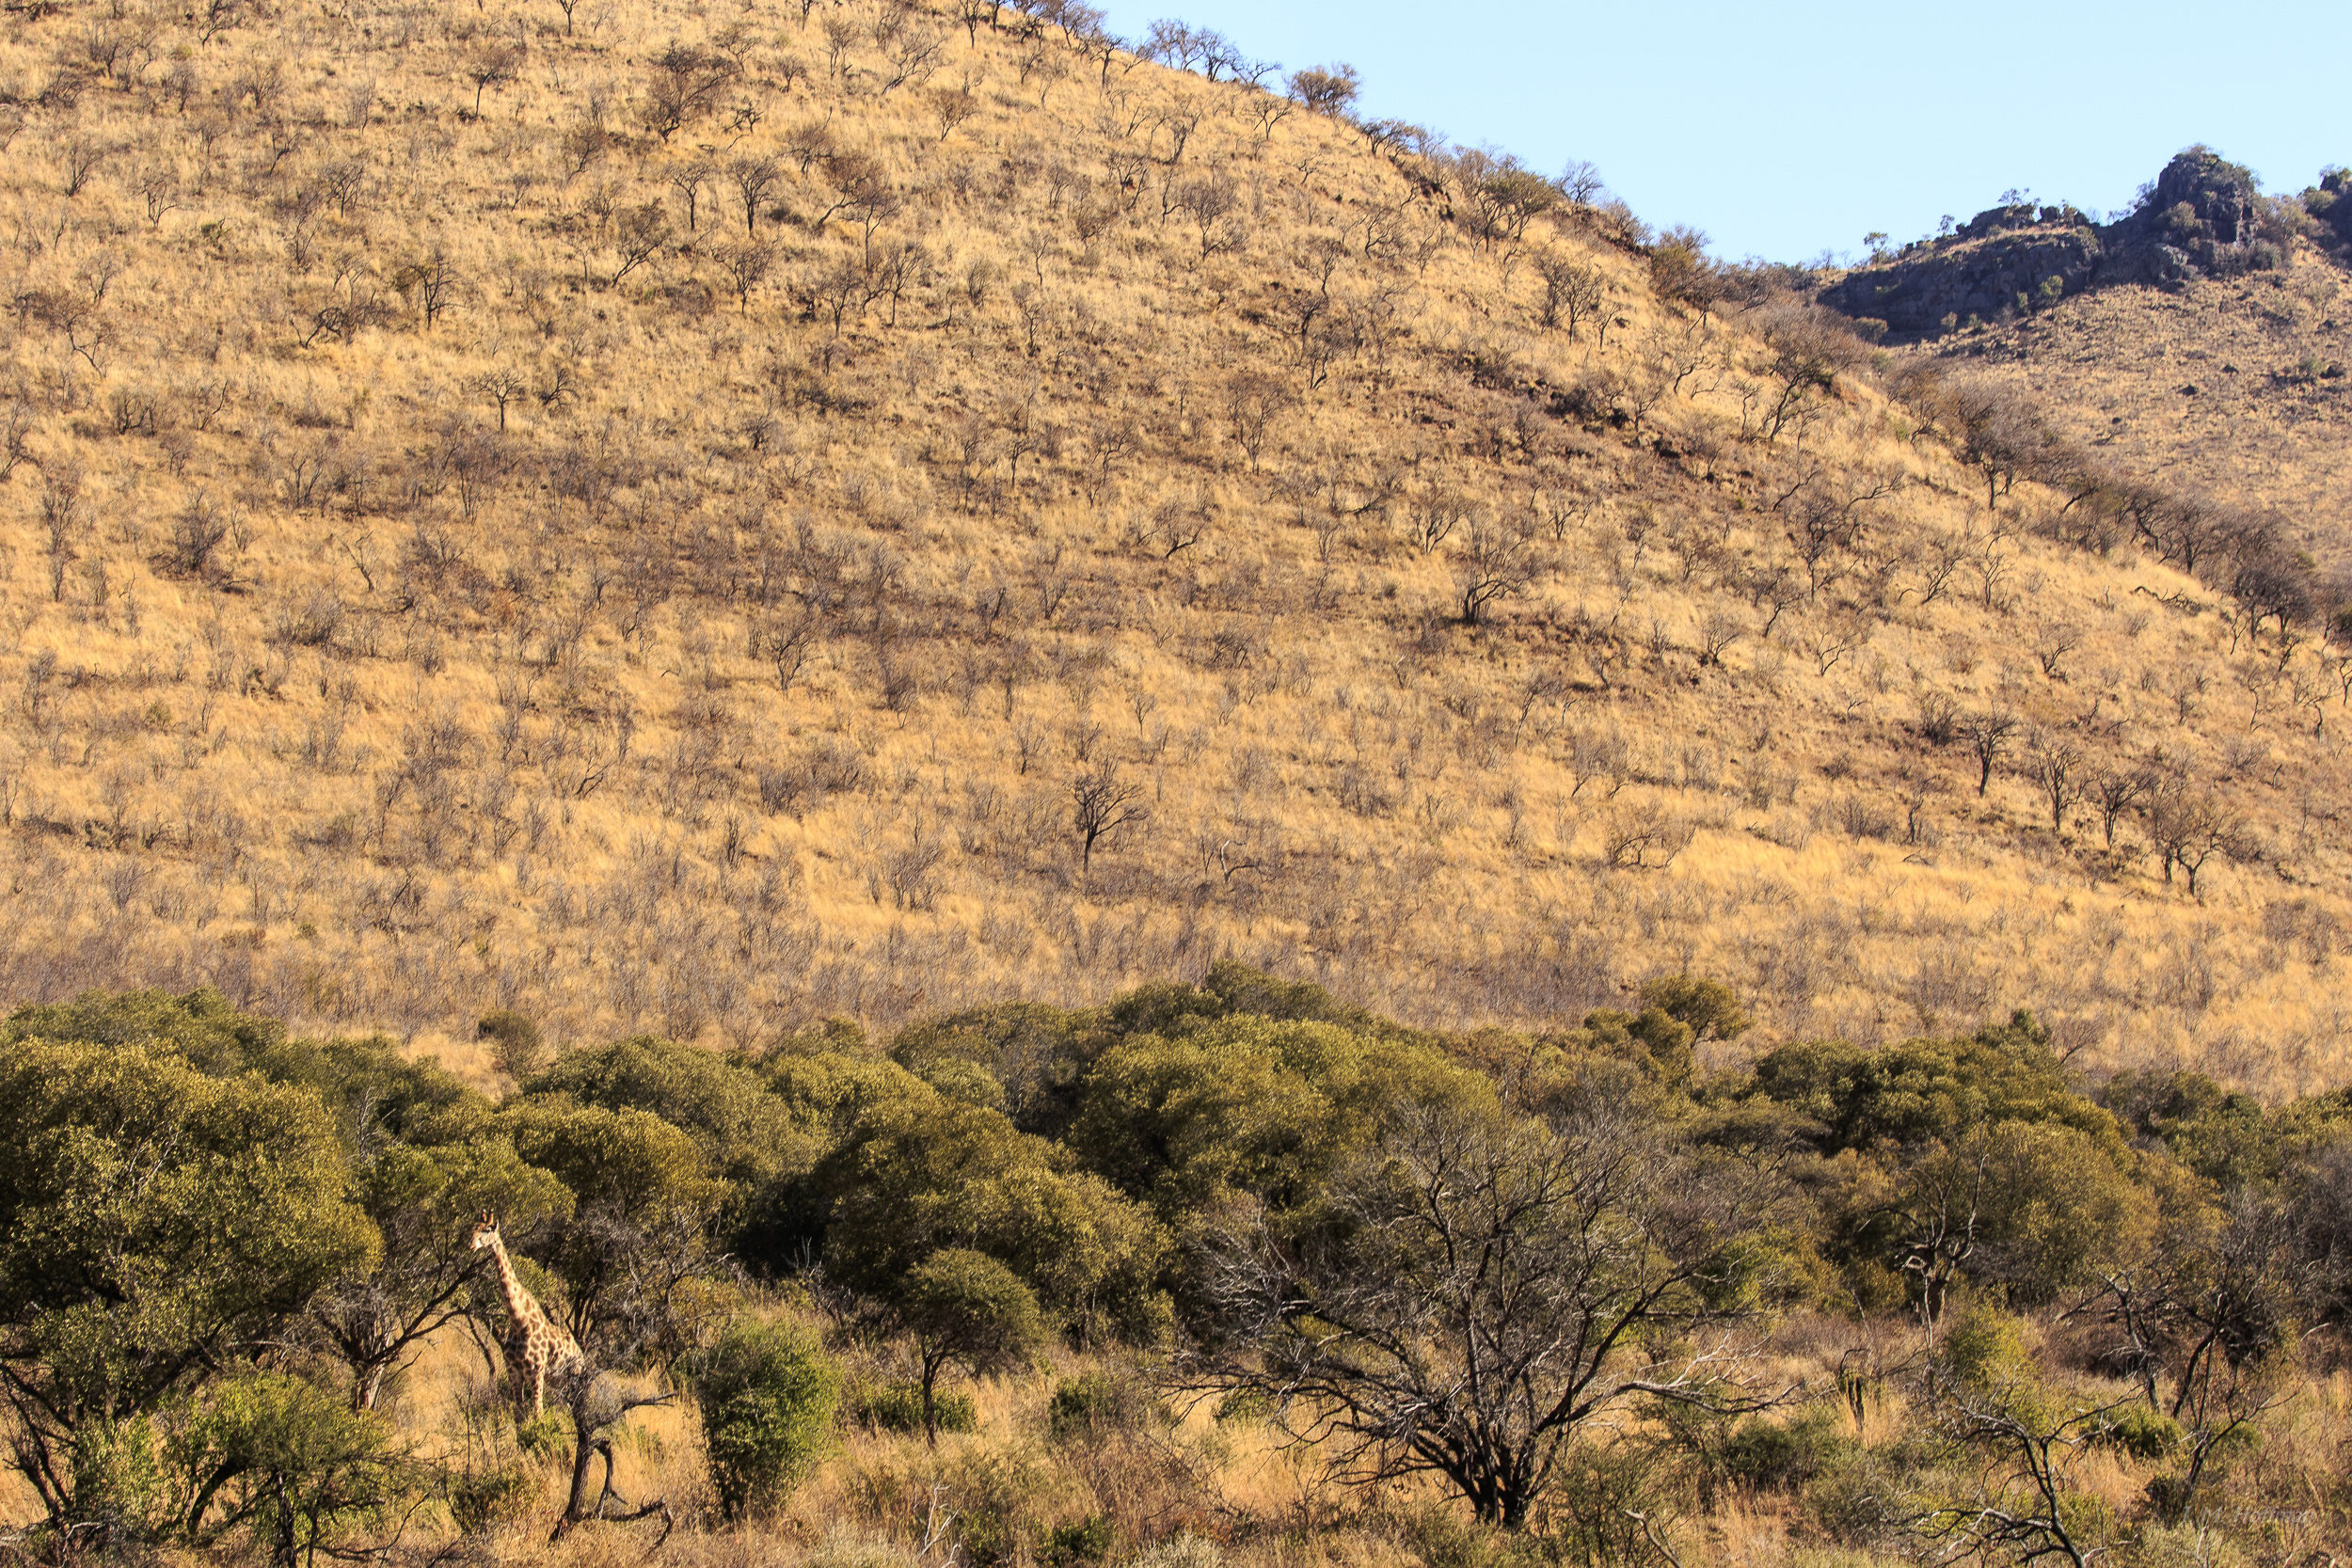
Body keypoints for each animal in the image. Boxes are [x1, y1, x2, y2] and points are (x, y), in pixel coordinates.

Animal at [469, 1211, 585, 1418]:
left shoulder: (536, 1371)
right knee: (567, 1407)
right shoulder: (513, 1371)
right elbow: (519, 1415)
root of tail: (582, 1355)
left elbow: (538, 1413)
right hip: (557, 1381)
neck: (518, 1321)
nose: (470, 1245)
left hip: (573, 1377)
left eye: (487, 1230)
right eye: (472, 1228)